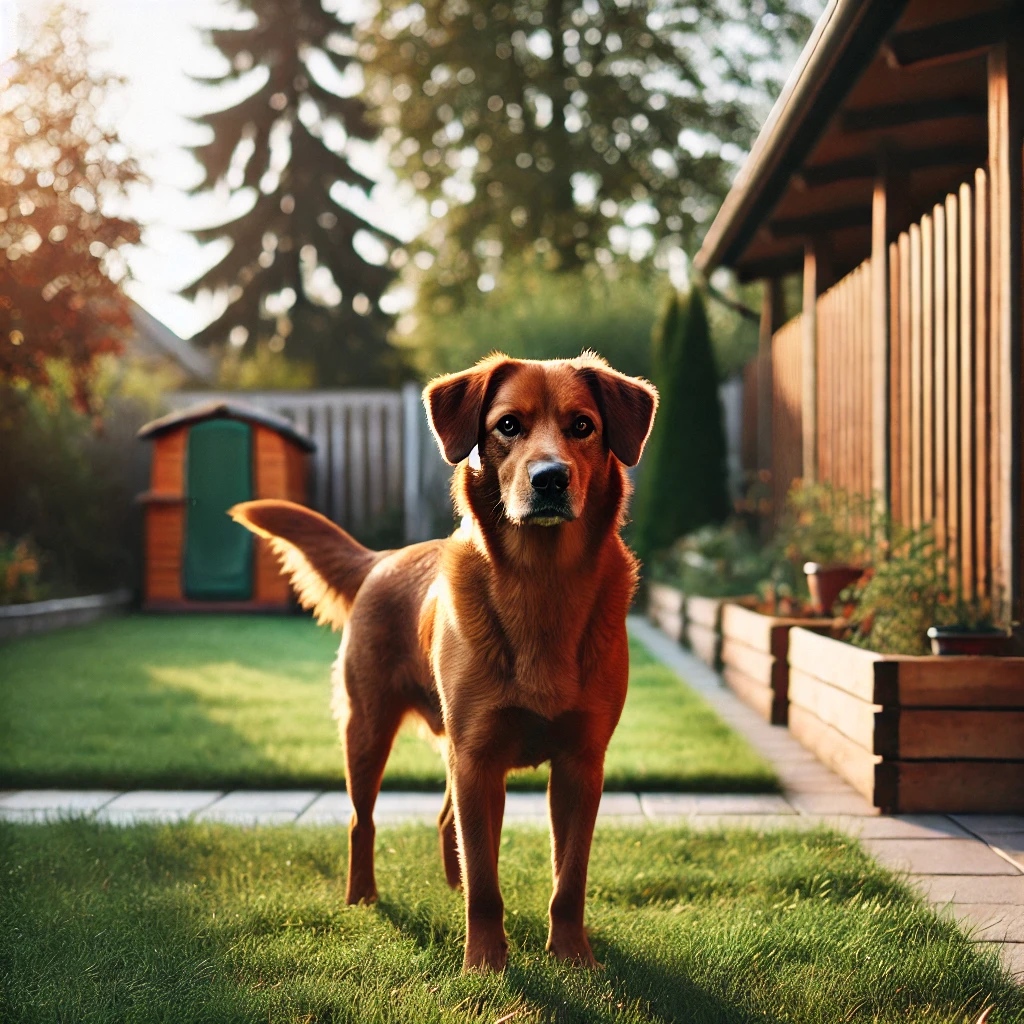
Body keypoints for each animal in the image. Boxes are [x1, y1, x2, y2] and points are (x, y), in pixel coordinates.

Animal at [230, 352, 655, 966]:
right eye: (508, 425)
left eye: (583, 426)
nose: (550, 477)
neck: (541, 583)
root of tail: (381, 558)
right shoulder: (477, 756)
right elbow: (487, 883)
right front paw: (485, 965)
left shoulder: (581, 763)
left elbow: (568, 879)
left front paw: (574, 958)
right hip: (369, 732)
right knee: (363, 821)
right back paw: (363, 898)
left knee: (447, 824)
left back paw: (451, 888)